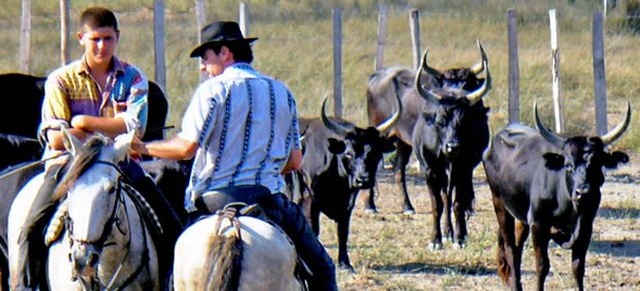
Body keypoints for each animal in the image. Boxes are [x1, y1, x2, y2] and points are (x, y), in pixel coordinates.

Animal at [484, 104, 632, 290]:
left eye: (597, 164)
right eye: (568, 165)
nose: (583, 192)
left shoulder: (586, 227)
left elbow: (578, 267)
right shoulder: (539, 225)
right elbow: (542, 265)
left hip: (521, 216)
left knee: (517, 248)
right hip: (499, 203)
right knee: (510, 247)